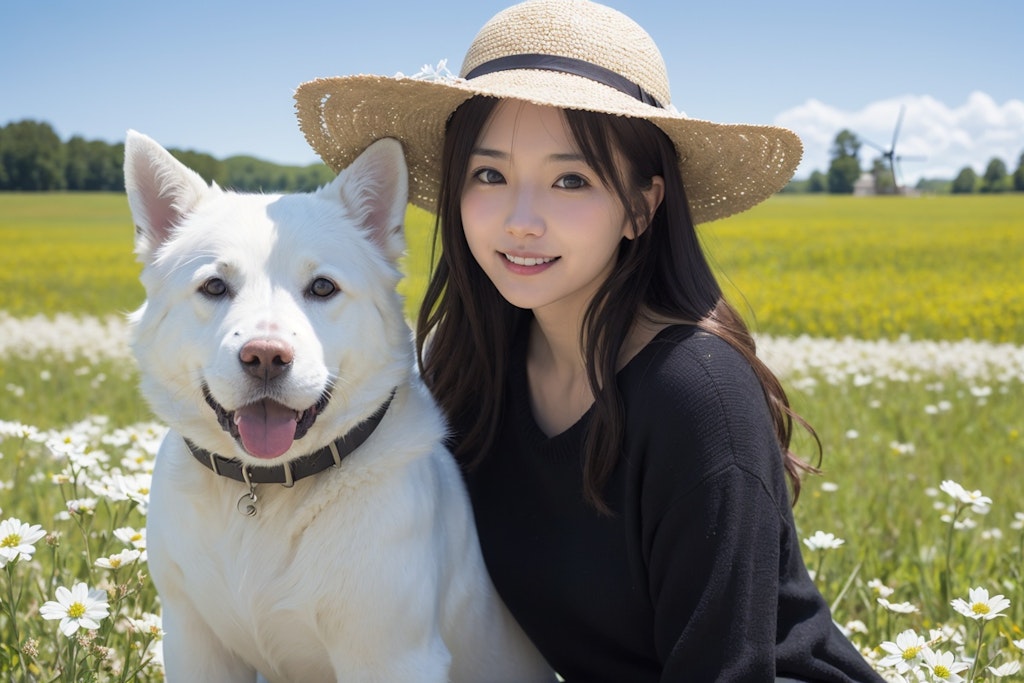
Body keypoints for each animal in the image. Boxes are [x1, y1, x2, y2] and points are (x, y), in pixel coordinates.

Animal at [126, 129, 557, 683]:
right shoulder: (193, 642)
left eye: (323, 287)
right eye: (215, 286)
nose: (266, 358)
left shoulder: (391, 656)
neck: (265, 494)